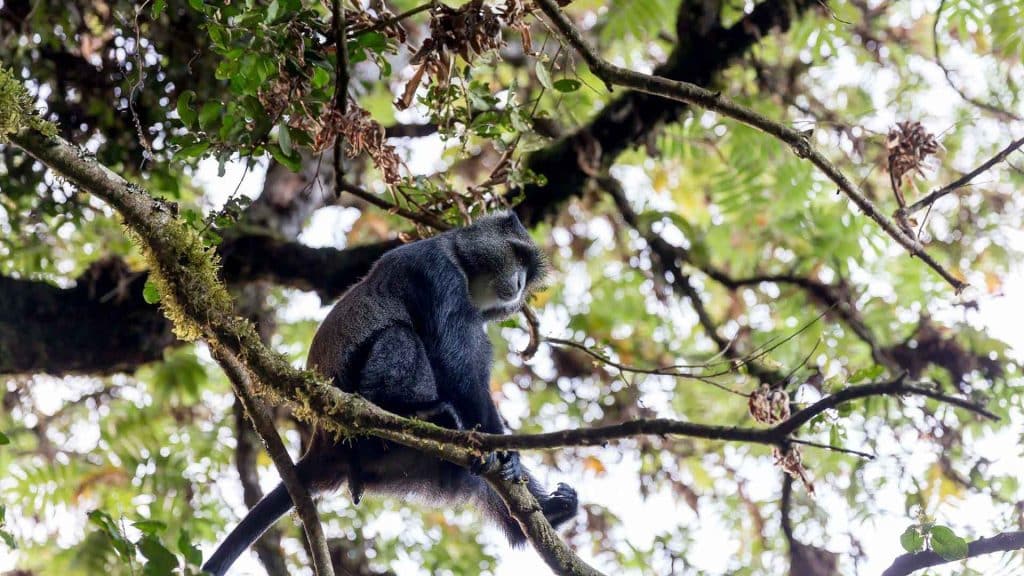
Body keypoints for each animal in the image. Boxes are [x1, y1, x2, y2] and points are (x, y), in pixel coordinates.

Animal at [203, 211, 581, 573]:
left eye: (527, 270)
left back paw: (548, 512)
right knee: (399, 336)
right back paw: (422, 413)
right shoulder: (436, 272)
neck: (459, 256)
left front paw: (513, 464)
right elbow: (454, 362)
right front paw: (499, 448)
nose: (518, 284)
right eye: (518, 255)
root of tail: (322, 445)